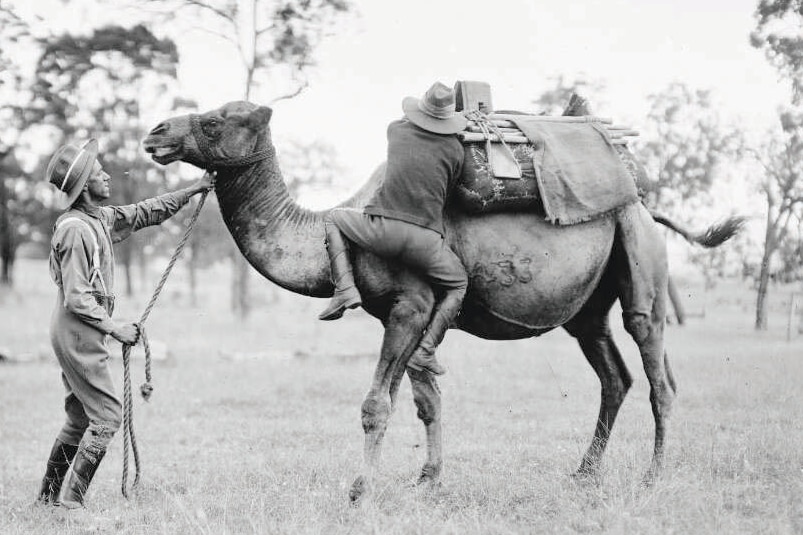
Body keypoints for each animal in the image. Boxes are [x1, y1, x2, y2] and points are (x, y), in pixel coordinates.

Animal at [141, 101, 744, 502]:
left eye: (214, 120)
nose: (155, 132)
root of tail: (643, 202)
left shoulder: (409, 304)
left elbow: (376, 404)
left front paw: (360, 490)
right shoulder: (410, 312)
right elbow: (425, 398)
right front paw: (427, 481)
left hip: (640, 260)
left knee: (656, 368)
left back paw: (652, 477)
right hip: (587, 307)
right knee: (614, 375)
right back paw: (584, 473)